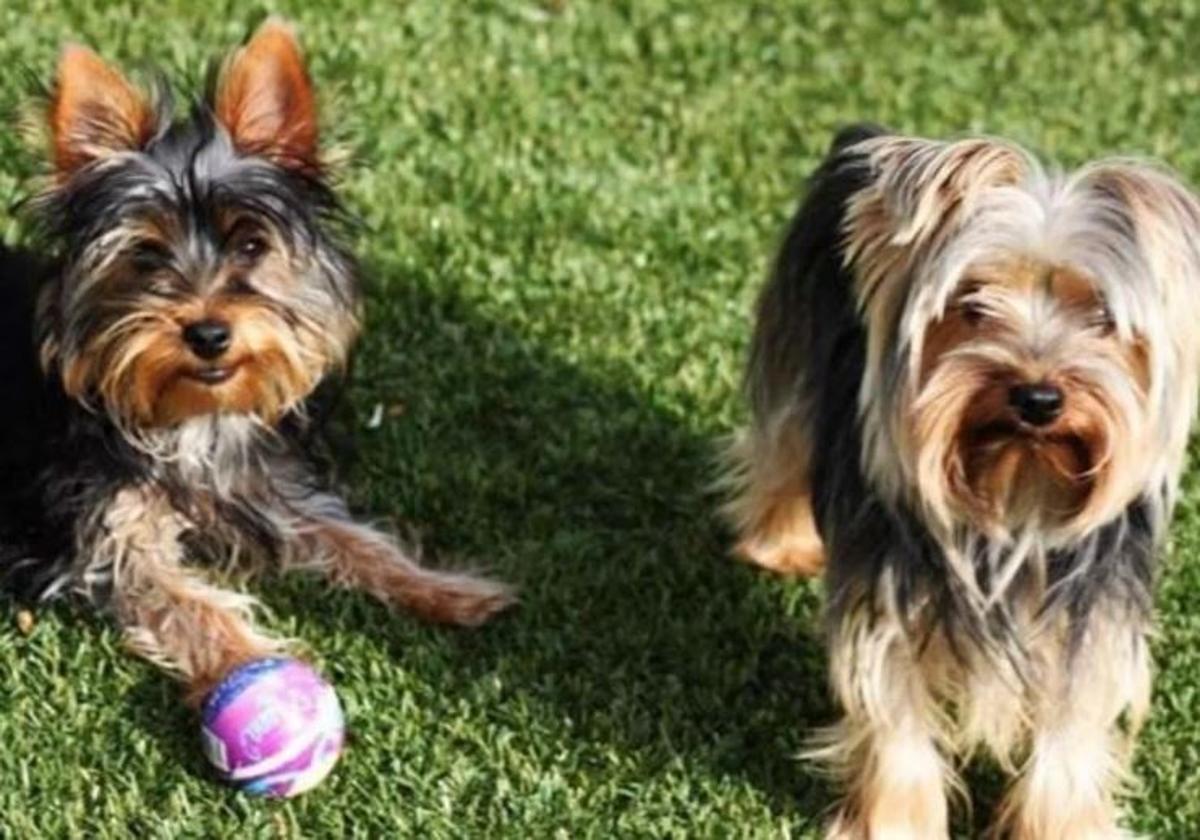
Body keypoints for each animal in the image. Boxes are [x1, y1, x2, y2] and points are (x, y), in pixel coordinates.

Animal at [0, 18, 511, 700]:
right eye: (146, 256)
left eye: (250, 245)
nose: (209, 333)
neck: (191, 418)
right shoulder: (100, 527)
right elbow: (183, 603)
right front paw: (250, 662)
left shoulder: (266, 485)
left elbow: (353, 537)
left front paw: (448, 589)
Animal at [724, 121, 1200, 835]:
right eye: (972, 304)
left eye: (1101, 316)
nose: (1037, 397)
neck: (1017, 496)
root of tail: (866, 136)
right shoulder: (886, 611)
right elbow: (896, 728)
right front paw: (892, 825)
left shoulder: (1090, 624)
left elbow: (1070, 736)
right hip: (799, 348)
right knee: (783, 441)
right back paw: (777, 546)